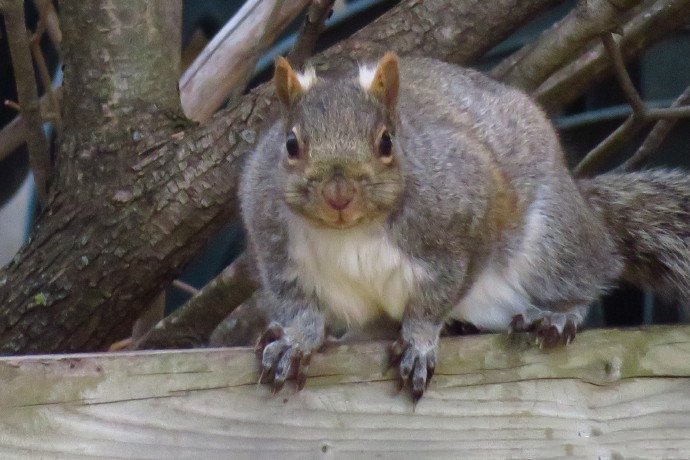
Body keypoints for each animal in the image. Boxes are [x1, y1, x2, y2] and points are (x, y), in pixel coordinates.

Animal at [238, 50, 688, 400]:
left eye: (386, 142)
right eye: (291, 144)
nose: (339, 194)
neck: (350, 231)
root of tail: (583, 205)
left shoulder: (467, 219)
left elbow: (435, 297)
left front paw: (420, 342)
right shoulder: (275, 250)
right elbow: (298, 305)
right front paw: (296, 341)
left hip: (552, 242)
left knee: (590, 273)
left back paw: (558, 315)